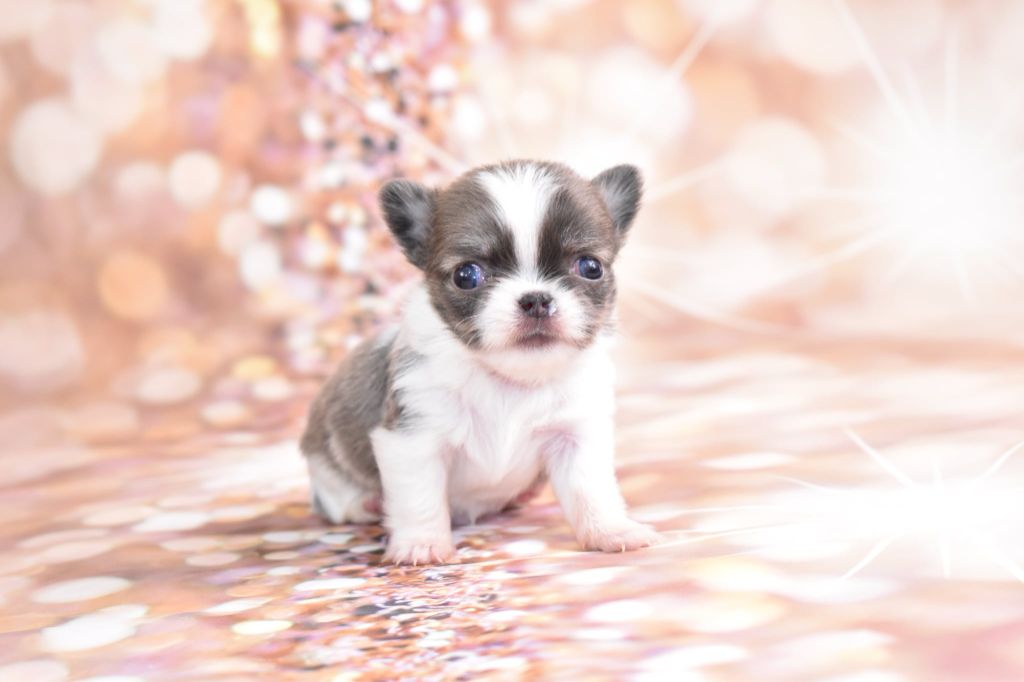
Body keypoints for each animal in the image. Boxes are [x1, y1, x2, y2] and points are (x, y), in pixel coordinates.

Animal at [300, 160, 662, 564]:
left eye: (590, 267)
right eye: (467, 275)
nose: (537, 299)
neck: (508, 380)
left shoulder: (575, 437)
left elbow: (591, 490)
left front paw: (611, 530)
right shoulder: (413, 439)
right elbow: (418, 499)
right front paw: (422, 543)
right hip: (324, 464)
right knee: (334, 497)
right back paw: (365, 503)